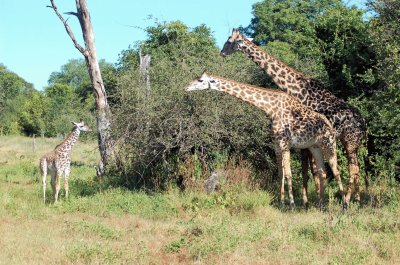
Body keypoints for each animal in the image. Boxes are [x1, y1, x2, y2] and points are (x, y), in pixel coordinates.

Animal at [186, 72, 346, 208]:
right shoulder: (276, 145)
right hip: (315, 146)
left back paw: (344, 205)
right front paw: (282, 203)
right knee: (322, 172)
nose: (186, 86)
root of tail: (330, 126)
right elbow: (281, 174)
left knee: (336, 171)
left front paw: (292, 205)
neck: (270, 109)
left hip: (328, 144)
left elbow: (289, 174)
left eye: (200, 80)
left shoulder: (285, 144)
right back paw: (321, 205)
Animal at [220, 28, 368, 206]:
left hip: (350, 142)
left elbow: (312, 170)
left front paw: (312, 200)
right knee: (357, 167)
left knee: (353, 168)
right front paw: (310, 200)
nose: (221, 53)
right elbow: (309, 170)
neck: (297, 89)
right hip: (351, 143)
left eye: (229, 41)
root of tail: (364, 125)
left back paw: (347, 200)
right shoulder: (307, 141)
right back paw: (357, 199)